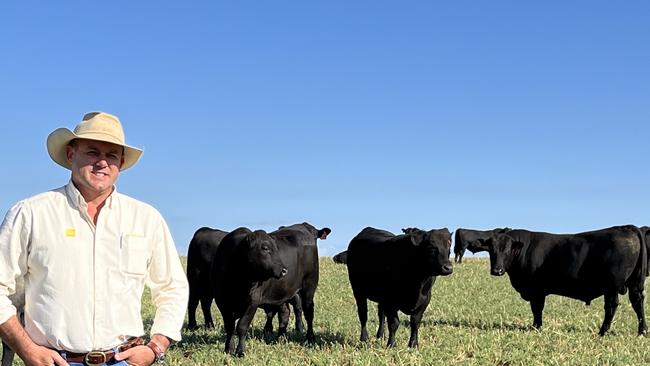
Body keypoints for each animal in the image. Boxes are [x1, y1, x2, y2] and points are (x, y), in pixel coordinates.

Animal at [213, 223, 330, 354]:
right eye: (265, 248)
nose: (284, 270)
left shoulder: (253, 301)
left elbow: (242, 326)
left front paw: (240, 351)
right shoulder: (221, 301)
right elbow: (229, 327)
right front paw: (229, 349)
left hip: (309, 287)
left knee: (308, 313)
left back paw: (310, 338)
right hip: (281, 293)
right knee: (284, 313)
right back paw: (280, 338)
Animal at [486, 223, 644, 334]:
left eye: (508, 250)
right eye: (491, 250)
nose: (497, 270)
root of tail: (625, 227)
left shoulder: (537, 290)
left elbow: (537, 309)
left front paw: (536, 327)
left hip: (611, 286)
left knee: (611, 306)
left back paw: (602, 331)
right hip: (635, 282)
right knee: (637, 302)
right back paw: (642, 331)